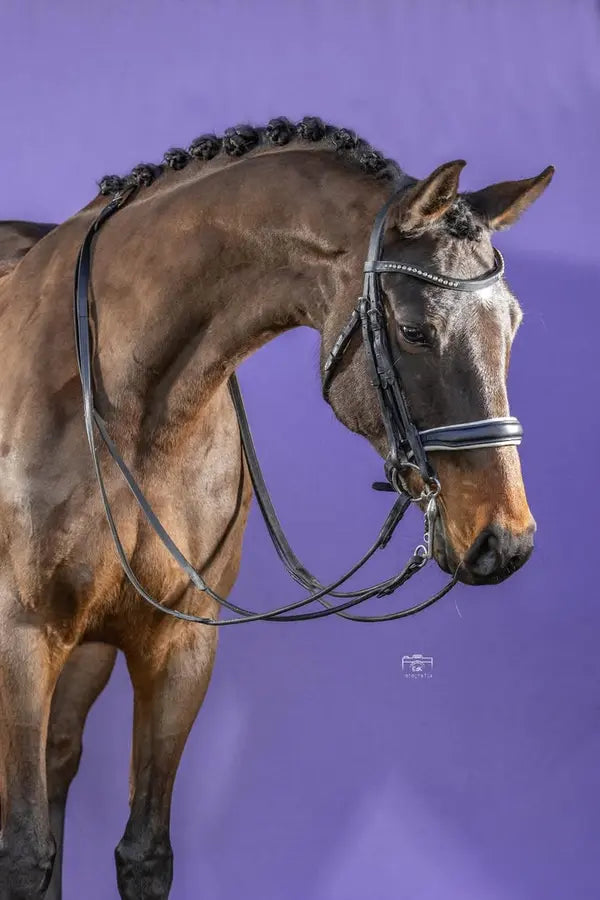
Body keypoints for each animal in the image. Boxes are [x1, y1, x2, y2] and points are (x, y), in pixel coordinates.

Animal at [0, 116, 552, 899]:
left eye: (512, 322)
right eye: (415, 330)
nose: (504, 540)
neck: (124, 400)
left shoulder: (178, 644)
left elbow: (143, 851)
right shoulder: (22, 636)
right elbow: (24, 854)